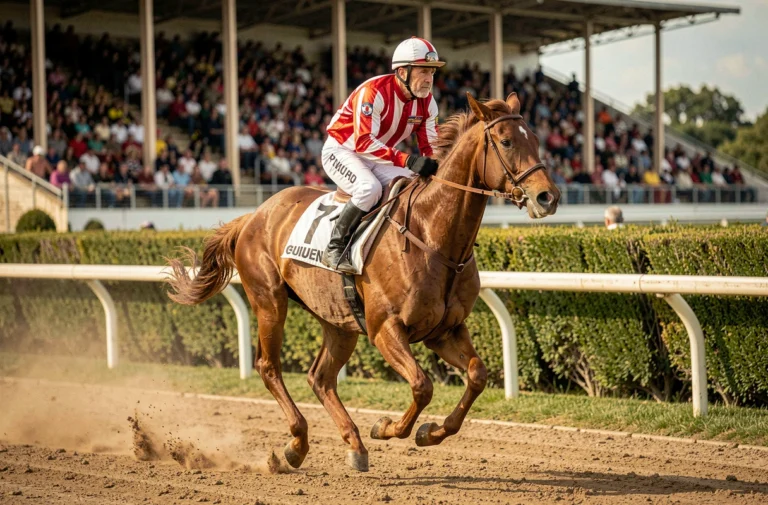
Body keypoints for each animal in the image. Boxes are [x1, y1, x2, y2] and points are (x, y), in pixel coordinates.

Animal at [166, 92, 560, 473]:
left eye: (537, 140)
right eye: (506, 141)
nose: (548, 197)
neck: (431, 235)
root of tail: (253, 215)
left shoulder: (444, 330)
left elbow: (477, 374)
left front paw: (430, 432)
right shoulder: (385, 328)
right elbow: (422, 386)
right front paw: (387, 427)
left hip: (338, 320)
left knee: (321, 378)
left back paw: (352, 445)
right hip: (269, 301)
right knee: (270, 367)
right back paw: (297, 444)